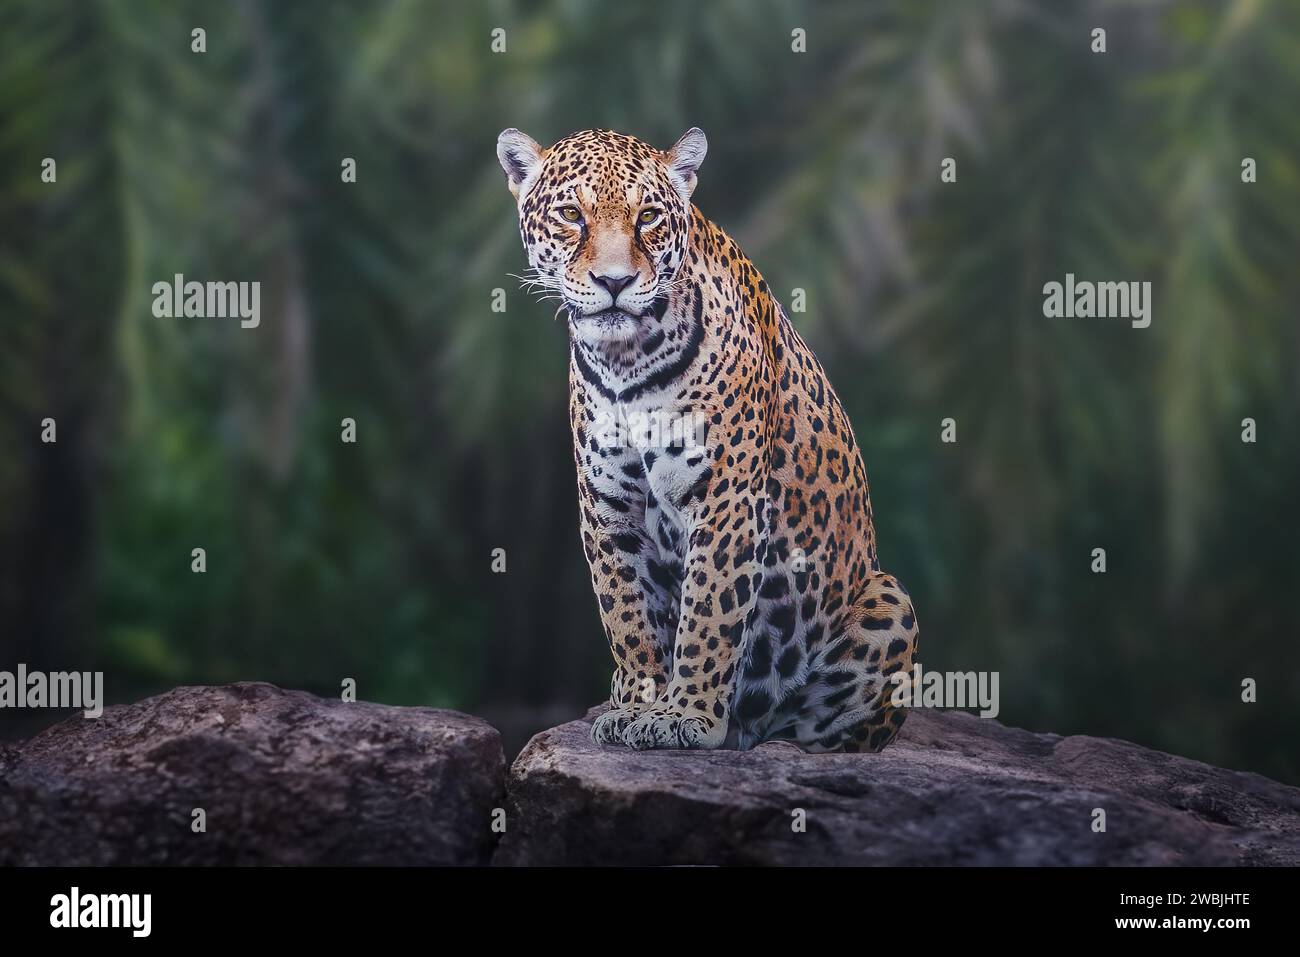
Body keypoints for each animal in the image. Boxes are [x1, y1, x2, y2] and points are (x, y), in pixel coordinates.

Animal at [497, 126, 919, 752]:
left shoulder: (726, 497)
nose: (615, 282)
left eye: (648, 216)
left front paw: (685, 715)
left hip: (891, 602)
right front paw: (638, 703)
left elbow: (709, 615)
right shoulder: (607, 505)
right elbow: (626, 614)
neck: (627, 361)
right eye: (572, 215)